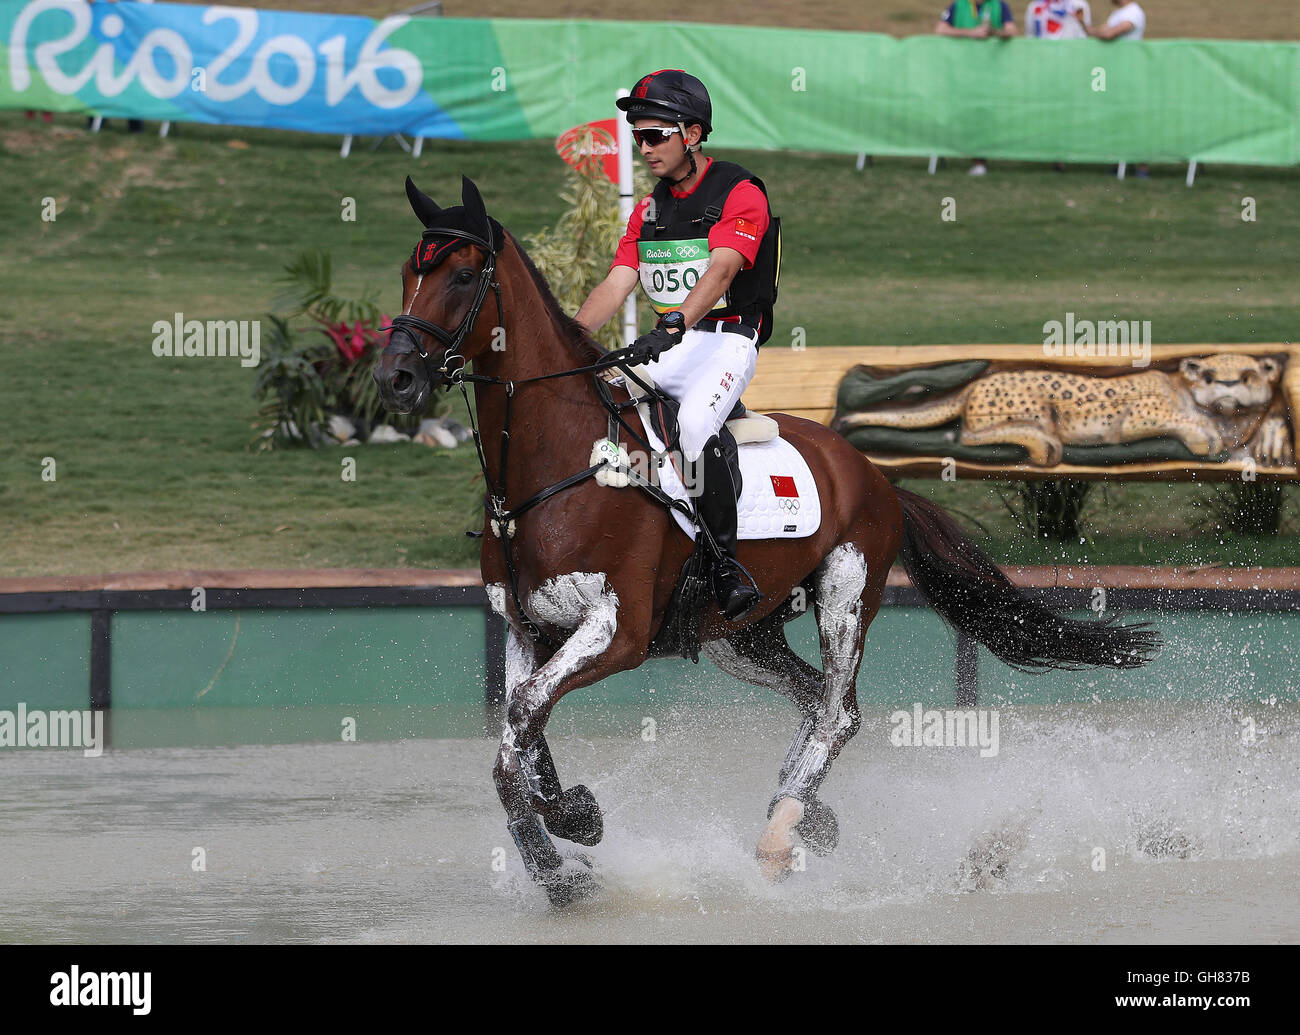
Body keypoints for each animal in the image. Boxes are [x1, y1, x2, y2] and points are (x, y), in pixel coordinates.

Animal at [374, 175, 1159, 904]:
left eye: (464, 274)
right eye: (409, 269)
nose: (395, 377)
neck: (555, 465)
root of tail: (872, 473)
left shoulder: (616, 631)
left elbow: (520, 727)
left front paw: (561, 847)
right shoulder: (525, 627)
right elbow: (520, 734)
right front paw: (568, 833)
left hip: (846, 589)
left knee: (838, 711)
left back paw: (783, 830)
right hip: (739, 633)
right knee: (813, 700)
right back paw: (808, 814)